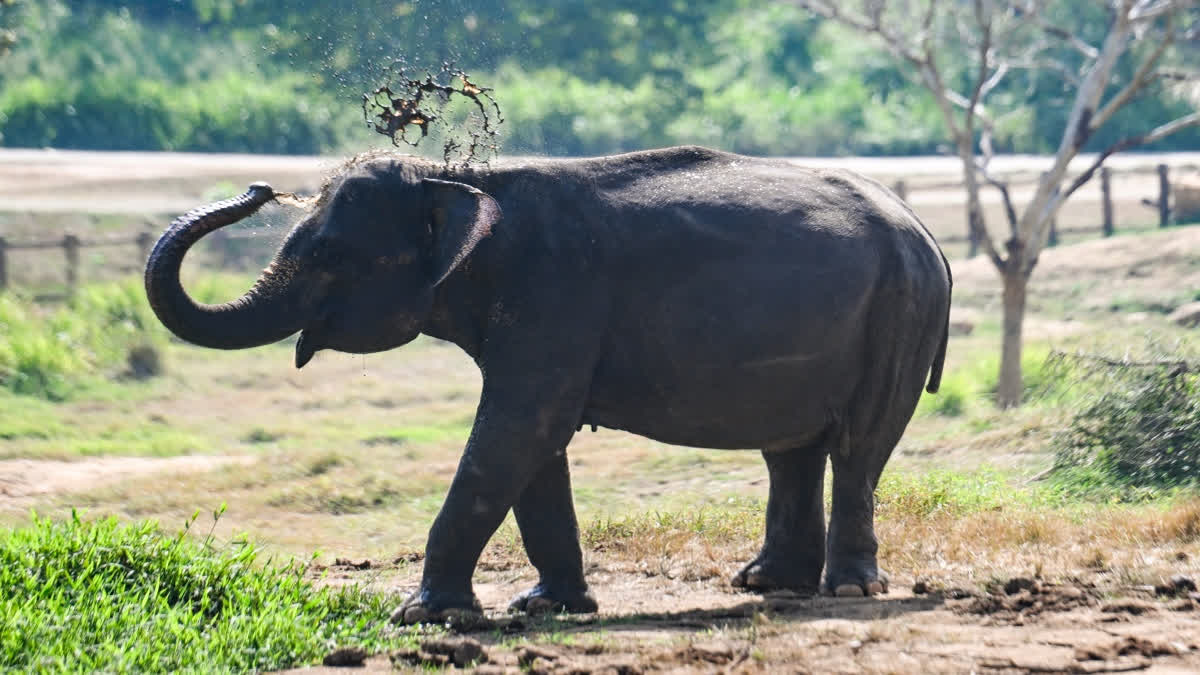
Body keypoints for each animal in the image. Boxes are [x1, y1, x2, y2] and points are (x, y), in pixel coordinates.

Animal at [144, 145, 951, 622]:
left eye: (331, 253)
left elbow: (516, 429)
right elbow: (532, 444)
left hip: (900, 314)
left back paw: (847, 590)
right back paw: (764, 585)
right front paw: (548, 607)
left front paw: (425, 616)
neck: (466, 180)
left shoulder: (555, 294)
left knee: (858, 447)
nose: (258, 185)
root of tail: (924, 231)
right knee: (793, 450)